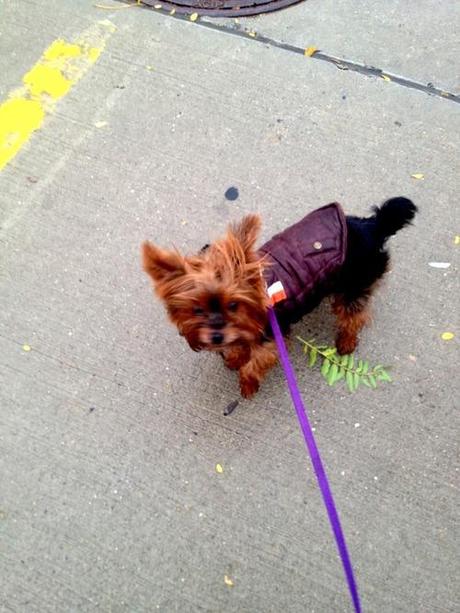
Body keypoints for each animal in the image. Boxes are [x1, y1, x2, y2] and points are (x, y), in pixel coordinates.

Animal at [141, 196, 416, 396]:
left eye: (233, 305)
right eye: (197, 309)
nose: (216, 336)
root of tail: (373, 225)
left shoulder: (270, 341)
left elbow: (254, 363)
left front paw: (247, 383)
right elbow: (239, 348)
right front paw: (235, 357)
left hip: (354, 285)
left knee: (354, 315)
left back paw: (346, 342)